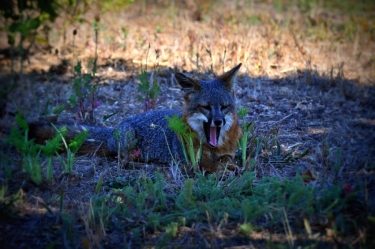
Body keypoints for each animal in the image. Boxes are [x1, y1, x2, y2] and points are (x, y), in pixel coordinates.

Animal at [27, 63, 242, 172]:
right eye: (205, 107)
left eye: (224, 107)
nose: (219, 121)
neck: (214, 147)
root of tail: (113, 130)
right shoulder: (190, 160)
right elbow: (213, 165)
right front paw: (225, 169)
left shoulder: (228, 153)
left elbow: (228, 160)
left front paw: (231, 165)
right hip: (129, 138)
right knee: (121, 160)